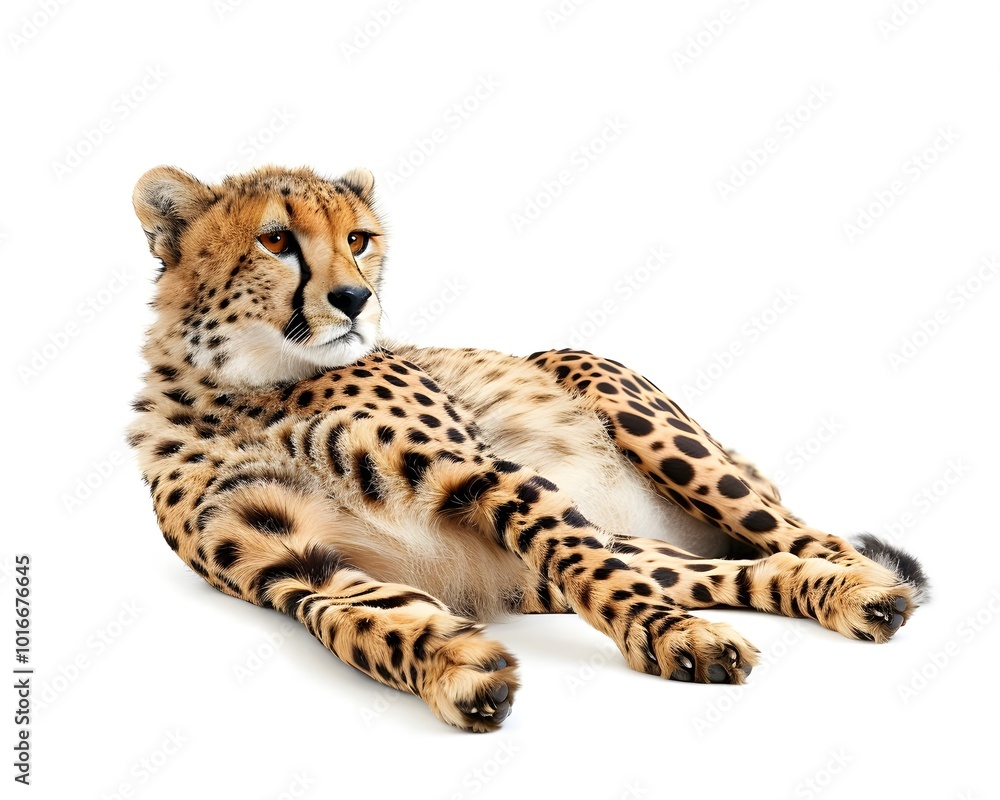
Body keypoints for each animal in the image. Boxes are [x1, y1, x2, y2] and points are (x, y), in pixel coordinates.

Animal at [127, 164, 928, 732]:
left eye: (358, 239)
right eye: (275, 240)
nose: (355, 300)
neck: (246, 386)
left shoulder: (481, 471)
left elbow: (586, 567)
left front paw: (671, 637)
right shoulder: (281, 559)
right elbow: (352, 616)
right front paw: (451, 664)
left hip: (603, 389)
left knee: (813, 539)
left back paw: (858, 587)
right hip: (595, 555)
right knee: (724, 567)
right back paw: (839, 596)